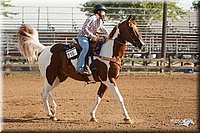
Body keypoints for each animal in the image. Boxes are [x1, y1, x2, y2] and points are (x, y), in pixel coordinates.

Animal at [16, 15, 144, 124]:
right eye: (131, 29)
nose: (141, 44)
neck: (109, 52)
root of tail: (44, 49)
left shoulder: (104, 82)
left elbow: (98, 98)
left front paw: (93, 116)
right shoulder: (109, 80)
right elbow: (120, 97)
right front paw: (127, 118)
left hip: (59, 77)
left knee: (46, 92)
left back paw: (53, 110)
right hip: (50, 76)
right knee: (44, 93)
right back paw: (50, 114)